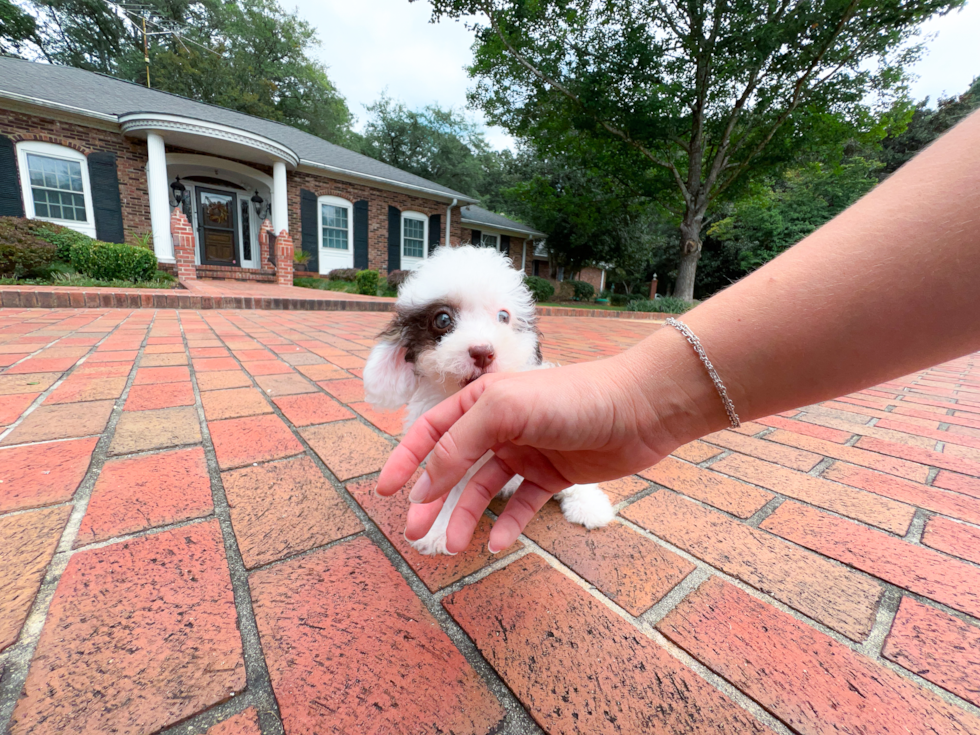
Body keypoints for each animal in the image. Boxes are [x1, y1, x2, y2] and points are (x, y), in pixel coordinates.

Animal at [366, 244, 612, 556]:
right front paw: (439, 528)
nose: (483, 352)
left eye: (504, 317)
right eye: (442, 320)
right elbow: (450, 488)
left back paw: (589, 506)